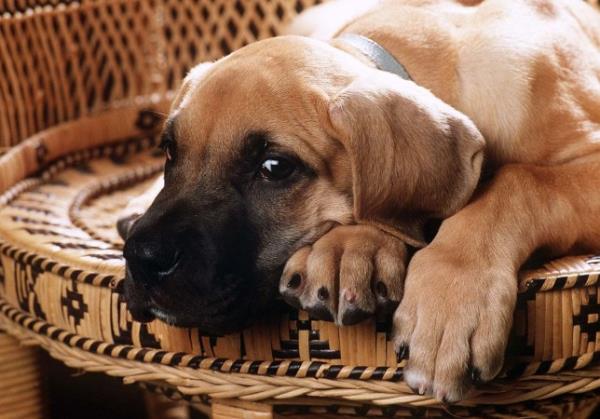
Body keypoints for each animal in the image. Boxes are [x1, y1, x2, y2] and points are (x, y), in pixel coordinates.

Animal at [120, 0, 600, 406]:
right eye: (169, 151)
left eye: (274, 167)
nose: (142, 257)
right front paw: (350, 250)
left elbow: (518, 181)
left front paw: (450, 301)